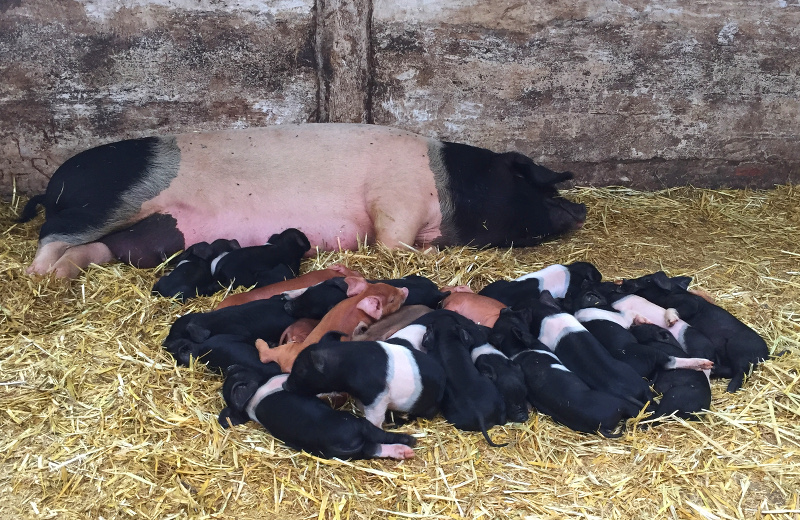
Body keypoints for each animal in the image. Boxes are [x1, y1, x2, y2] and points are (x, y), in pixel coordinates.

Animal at [18, 123, 580, 278]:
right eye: (536, 181)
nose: (581, 208)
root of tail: (54, 184)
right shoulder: (395, 198)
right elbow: (391, 243)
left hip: (149, 234)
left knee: (95, 251)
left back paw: (67, 276)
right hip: (106, 203)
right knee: (48, 243)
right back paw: (46, 278)